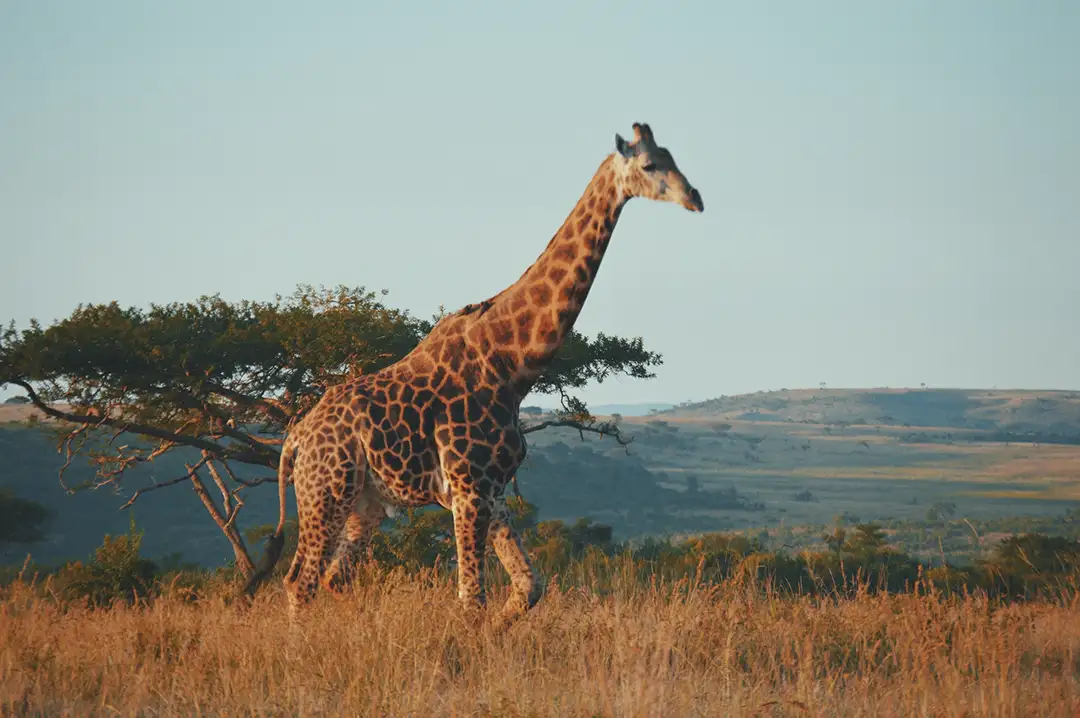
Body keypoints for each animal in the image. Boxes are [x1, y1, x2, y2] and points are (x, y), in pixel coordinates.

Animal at [243, 122, 704, 624]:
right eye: (650, 165)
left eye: (673, 156)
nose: (695, 197)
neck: (511, 364)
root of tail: (295, 439)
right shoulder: (467, 489)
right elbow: (472, 600)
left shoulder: (492, 490)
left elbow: (529, 587)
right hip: (326, 491)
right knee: (300, 581)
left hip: (365, 504)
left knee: (332, 578)